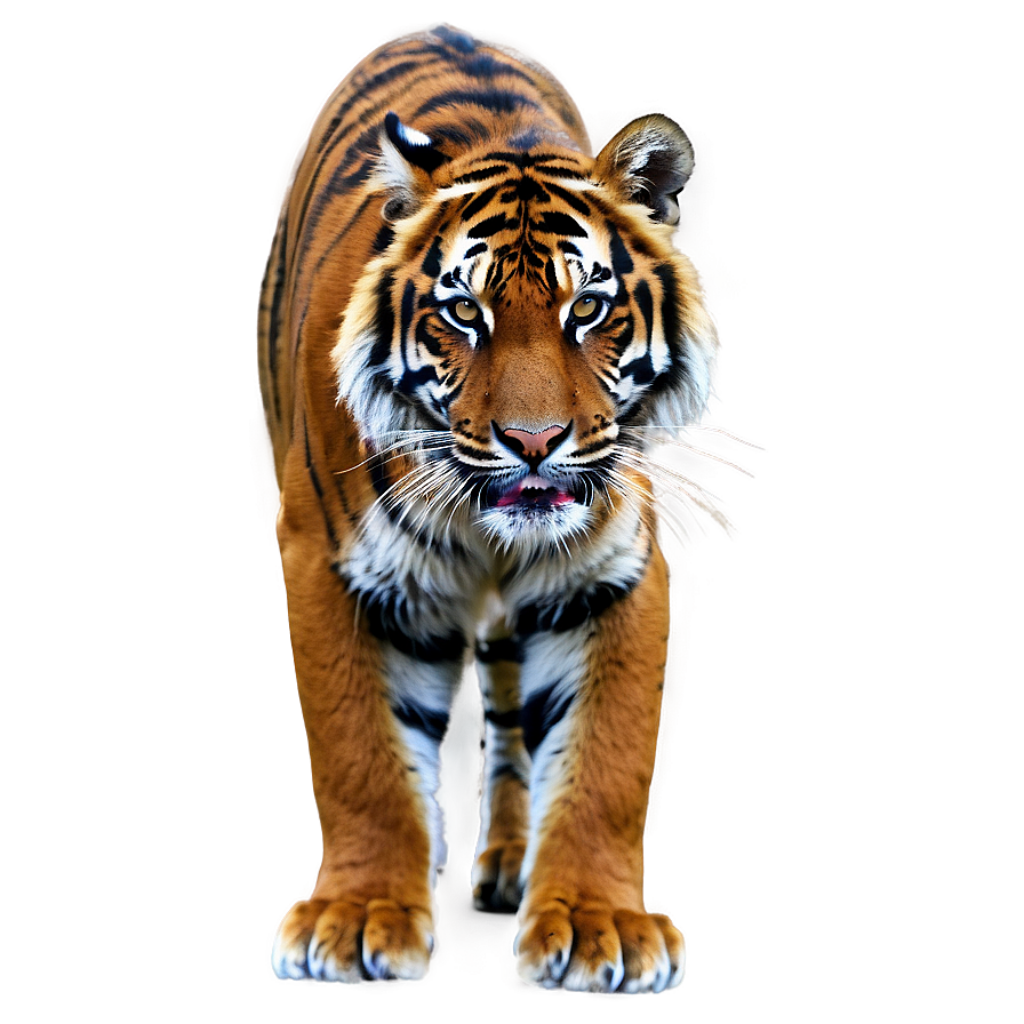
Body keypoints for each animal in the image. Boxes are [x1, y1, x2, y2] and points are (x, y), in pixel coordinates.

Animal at [256, 22, 756, 994]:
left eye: (588, 307)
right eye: (464, 314)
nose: (534, 441)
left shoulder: (613, 574)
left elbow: (604, 756)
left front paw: (602, 923)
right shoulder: (333, 565)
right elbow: (360, 753)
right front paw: (360, 916)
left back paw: (511, 866)